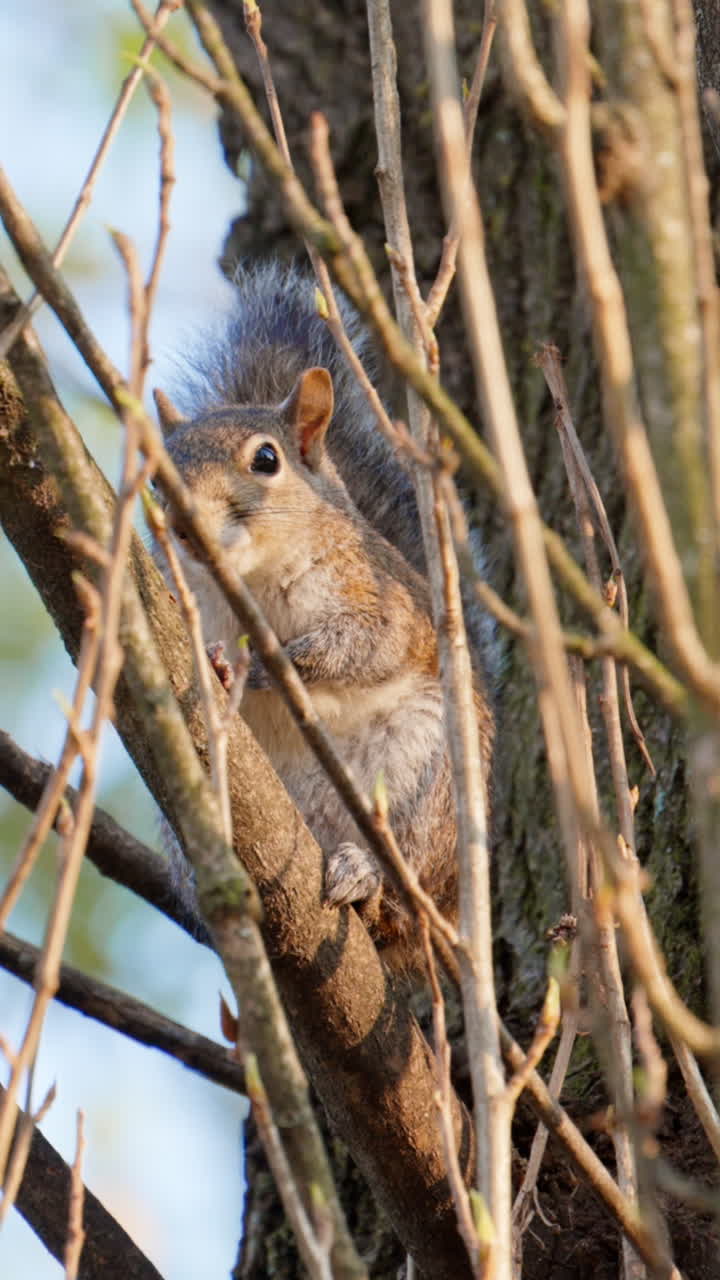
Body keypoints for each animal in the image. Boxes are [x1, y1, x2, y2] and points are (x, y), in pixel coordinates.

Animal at [154, 262, 495, 970]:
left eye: (266, 459)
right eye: (155, 475)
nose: (183, 524)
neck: (248, 583)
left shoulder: (379, 597)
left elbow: (367, 646)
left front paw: (275, 663)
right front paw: (220, 671)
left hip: (426, 780)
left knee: (403, 886)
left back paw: (369, 880)